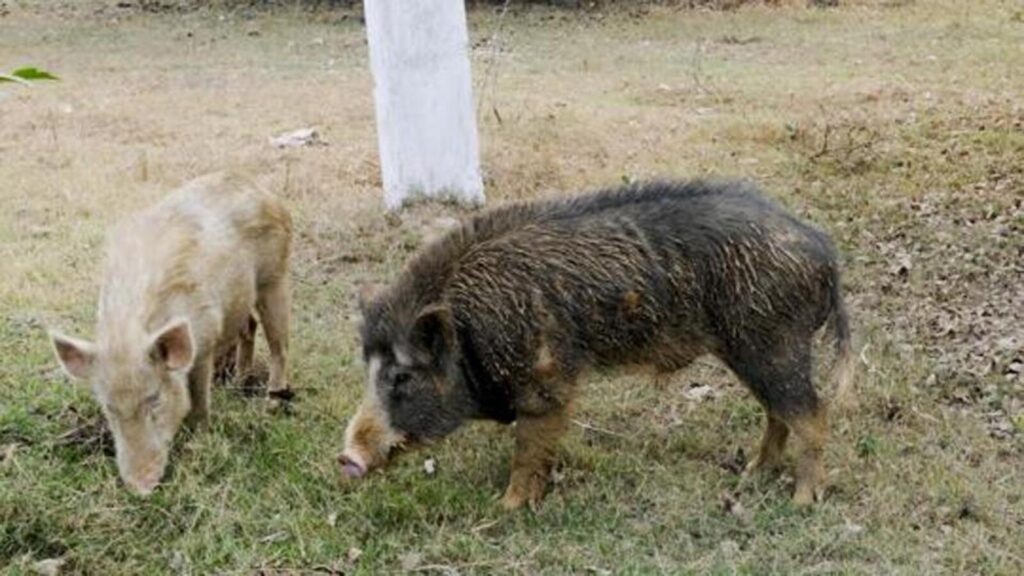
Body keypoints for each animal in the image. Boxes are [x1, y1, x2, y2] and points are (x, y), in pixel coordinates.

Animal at [50, 172, 292, 495]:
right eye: (109, 408)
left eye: (154, 399)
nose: (141, 487)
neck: (129, 334)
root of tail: (262, 189)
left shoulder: (204, 342)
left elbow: (199, 397)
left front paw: (199, 438)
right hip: (242, 298)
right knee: (249, 325)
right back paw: (237, 383)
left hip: (275, 277)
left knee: (280, 345)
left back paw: (271, 405)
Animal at [339, 179, 853, 509]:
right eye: (367, 369)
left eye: (401, 375)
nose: (346, 458)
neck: (469, 331)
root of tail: (823, 251)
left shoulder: (547, 382)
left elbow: (528, 451)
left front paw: (505, 509)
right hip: (754, 350)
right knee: (778, 412)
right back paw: (751, 473)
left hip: (775, 343)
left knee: (812, 413)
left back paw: (802, 502)